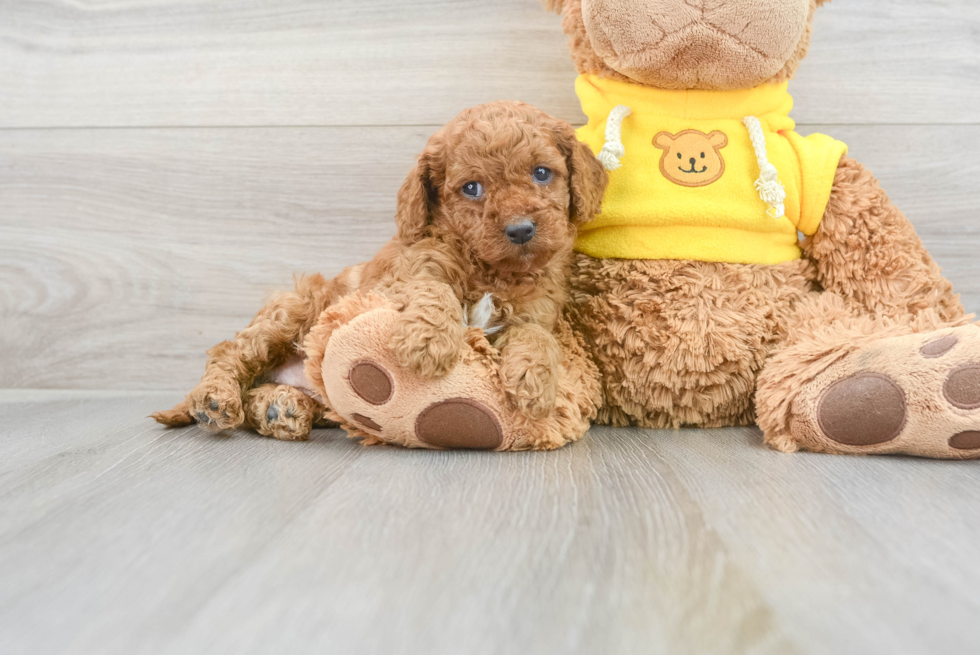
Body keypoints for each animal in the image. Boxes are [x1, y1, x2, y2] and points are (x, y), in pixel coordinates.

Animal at [152, 101, 604, 440]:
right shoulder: (397, 277)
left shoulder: (536, 311)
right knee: (230, 355)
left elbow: (537, 336)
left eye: (541, 173)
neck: (491, 269)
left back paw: (280, 409)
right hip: (295, 307)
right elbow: (432, 289)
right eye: (472, 188)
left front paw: (534, 383)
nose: (521, 230)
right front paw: (428, 343)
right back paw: (215, 400)